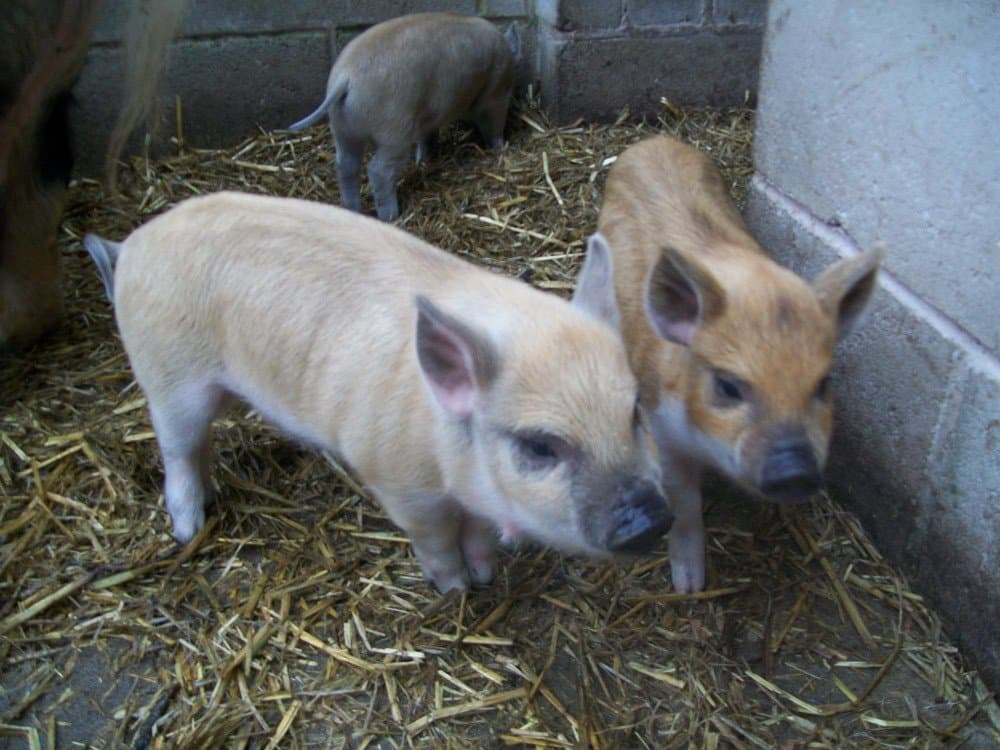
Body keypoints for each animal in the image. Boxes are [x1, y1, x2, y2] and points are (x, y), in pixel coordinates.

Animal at [83, 191, 672, 593]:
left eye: (635, 412)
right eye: (540, 446)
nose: (649, 517)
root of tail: (130, 247)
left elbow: (480, 532)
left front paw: (485, 575)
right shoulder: (398, 483)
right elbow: (436, 540)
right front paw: (457, 589)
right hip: (168, 376)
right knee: (178, 450)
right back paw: (188, 531)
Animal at [288, 12, 517, 222]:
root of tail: (346, 77)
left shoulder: (431, 117)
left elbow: (428, 137)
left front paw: (426, 159)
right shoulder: (496, 94)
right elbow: (494, 124)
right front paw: (500, 147)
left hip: (342, 128)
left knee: (345, 164)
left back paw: (354, 210)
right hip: (394, 130)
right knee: (378, 170)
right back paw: (390, 216)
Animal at [598, 135, 883, 593]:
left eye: (823, 384)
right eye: (728, 386)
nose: (794, 468)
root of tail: (654, 140)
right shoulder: (663, 427)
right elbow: (684, 504)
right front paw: (689, 588)